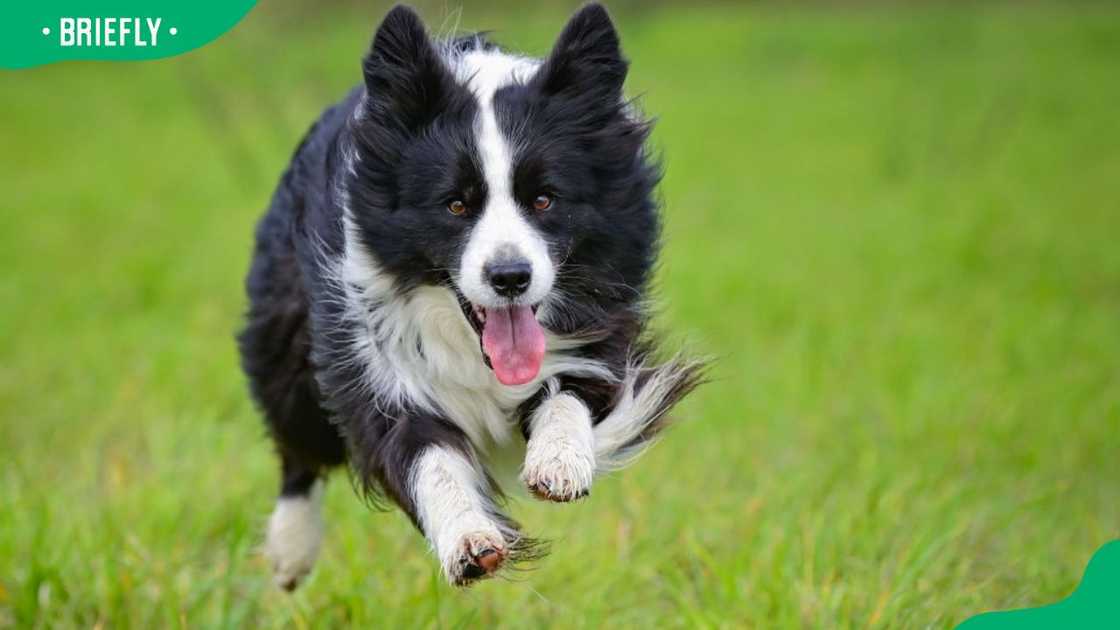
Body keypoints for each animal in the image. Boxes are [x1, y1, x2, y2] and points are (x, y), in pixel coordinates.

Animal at [238, 2, 698, 587]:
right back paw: (290, 551)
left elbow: (572, 389)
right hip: (285, 327)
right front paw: (468, 538)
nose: (510, 277)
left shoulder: (602, 321)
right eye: (456, 204)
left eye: (545, 199)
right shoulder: (369, 351)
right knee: (298, 443)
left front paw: (559, 462)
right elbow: (423, 452)